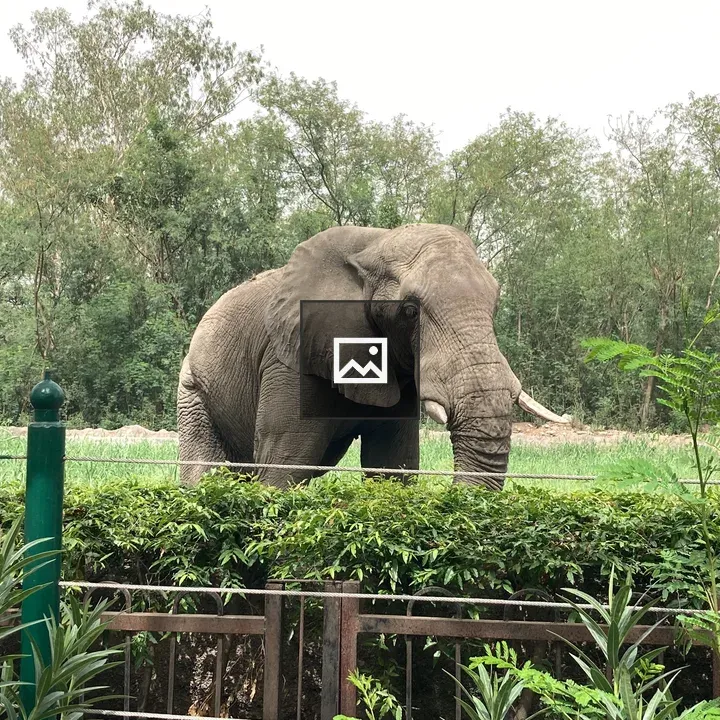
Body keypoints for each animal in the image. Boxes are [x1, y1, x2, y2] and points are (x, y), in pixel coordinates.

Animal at [177, 223, 568, 488]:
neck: (374, 244)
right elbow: (283, 464)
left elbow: (391, 464)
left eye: (496, 304)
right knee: (204, 470)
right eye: (410, 311)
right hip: (192, 388)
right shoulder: (288, 362)